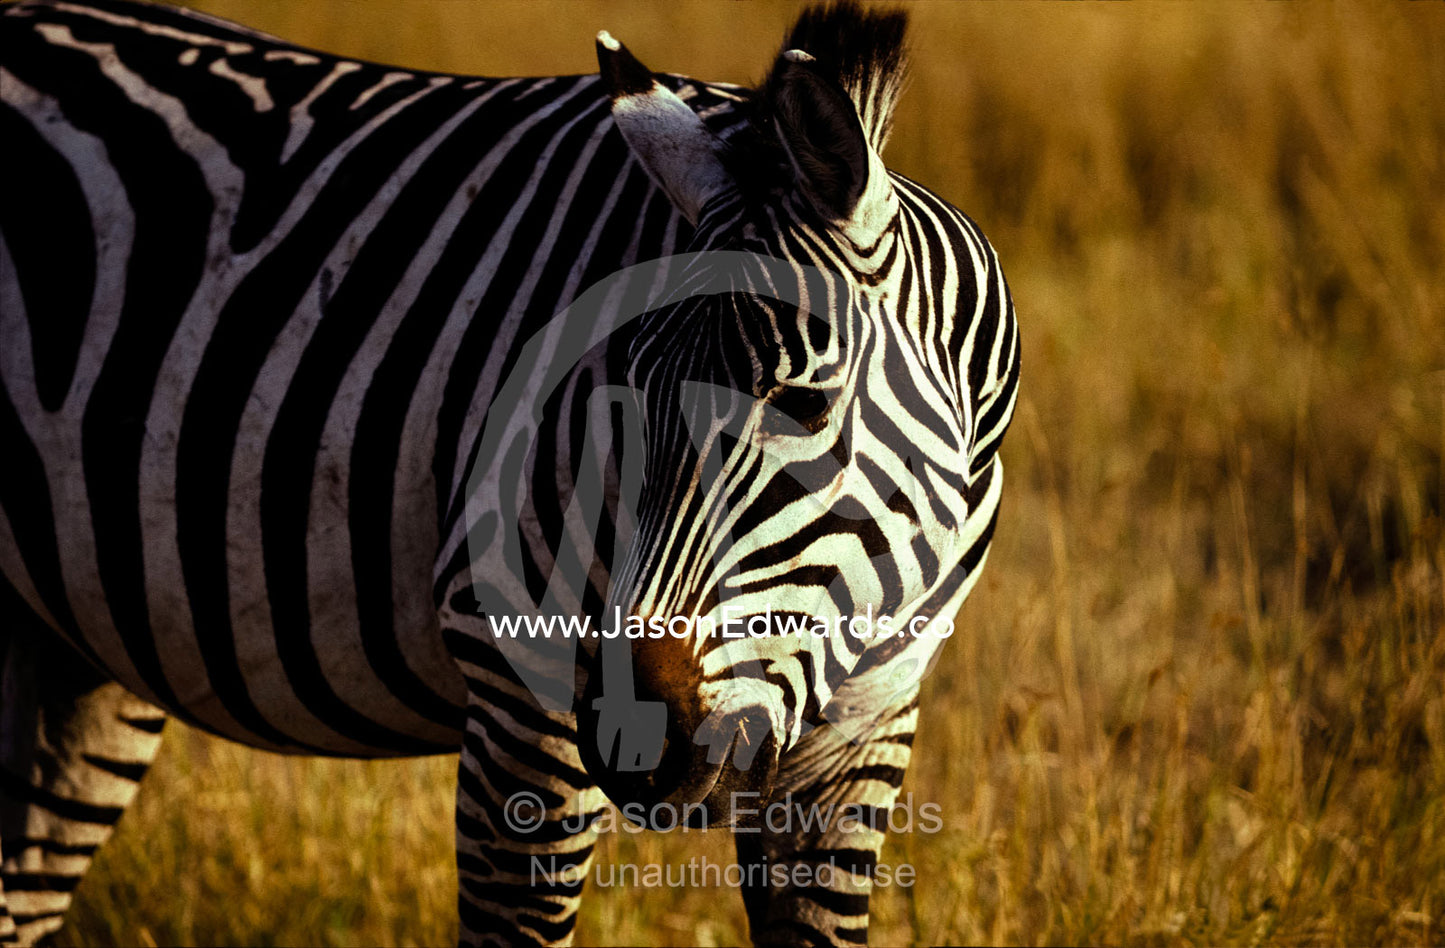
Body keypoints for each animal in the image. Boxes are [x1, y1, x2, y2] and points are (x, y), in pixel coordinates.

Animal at [0, 0, 1020, 944]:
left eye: (802, 402)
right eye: (622, 391)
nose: (635, 743)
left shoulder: (866, 729)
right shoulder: (519, 691)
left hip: (68, 644)